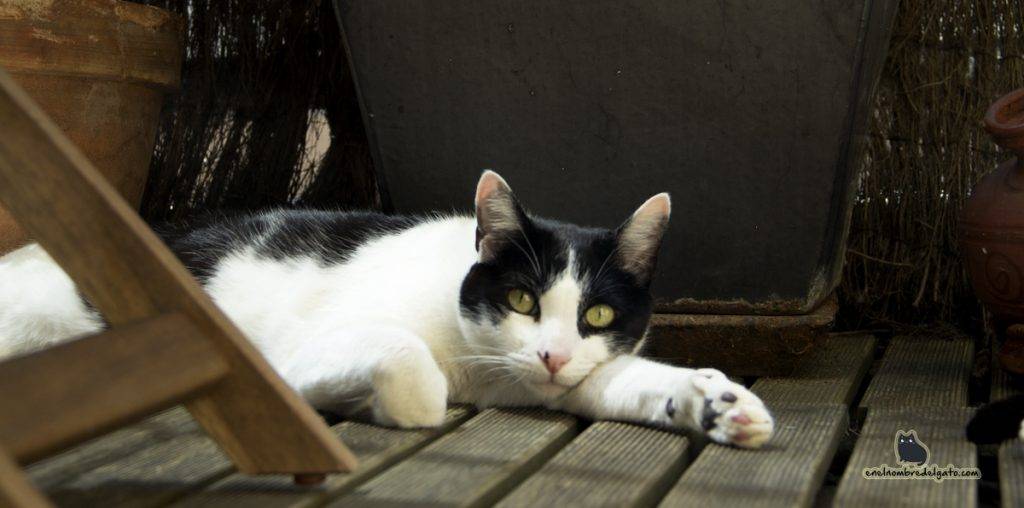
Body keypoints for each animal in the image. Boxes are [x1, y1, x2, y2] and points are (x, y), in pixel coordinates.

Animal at [0, 172, 770, 448]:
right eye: (521, 299)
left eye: (599, 318)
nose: (552, 355)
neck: (479, 371)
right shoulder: (296, 351)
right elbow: (413, 369)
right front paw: (376, 404)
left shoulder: (572, 378)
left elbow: (630, 382)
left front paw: (713, 402)